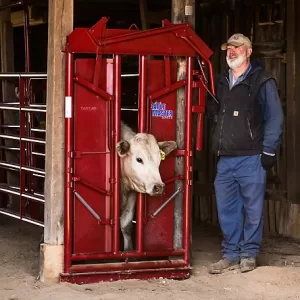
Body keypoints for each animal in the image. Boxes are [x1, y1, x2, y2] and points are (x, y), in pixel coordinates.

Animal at [117, 120, 178, 252]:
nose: (158, 187)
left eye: (159, 160)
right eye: (139, 159)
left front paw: (128, 250)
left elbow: (126, 224)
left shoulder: (132, 194)